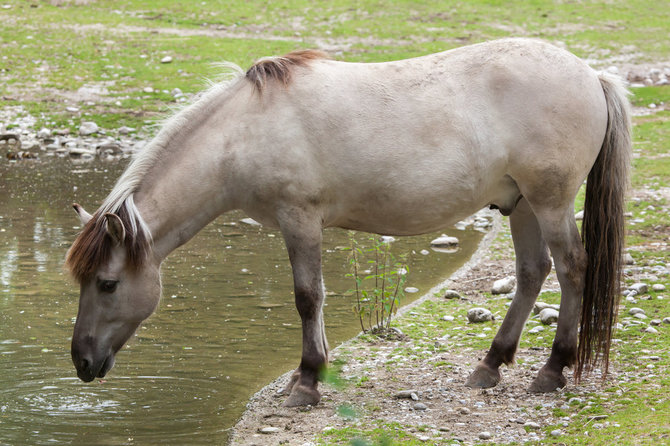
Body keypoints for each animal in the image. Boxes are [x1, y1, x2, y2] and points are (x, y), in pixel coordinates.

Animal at [65, 39, 632, 408]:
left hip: (550, 202)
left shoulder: (299, 220)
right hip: (522, 205)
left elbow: (307, 297)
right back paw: (490, 365)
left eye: (108, 283)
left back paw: (553, 370)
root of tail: (591, 74)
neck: (245, 131)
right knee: (533, 272)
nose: (82, 362)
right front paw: (309, 375)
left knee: (572, 268)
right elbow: (311, 299)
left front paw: (306, 383)